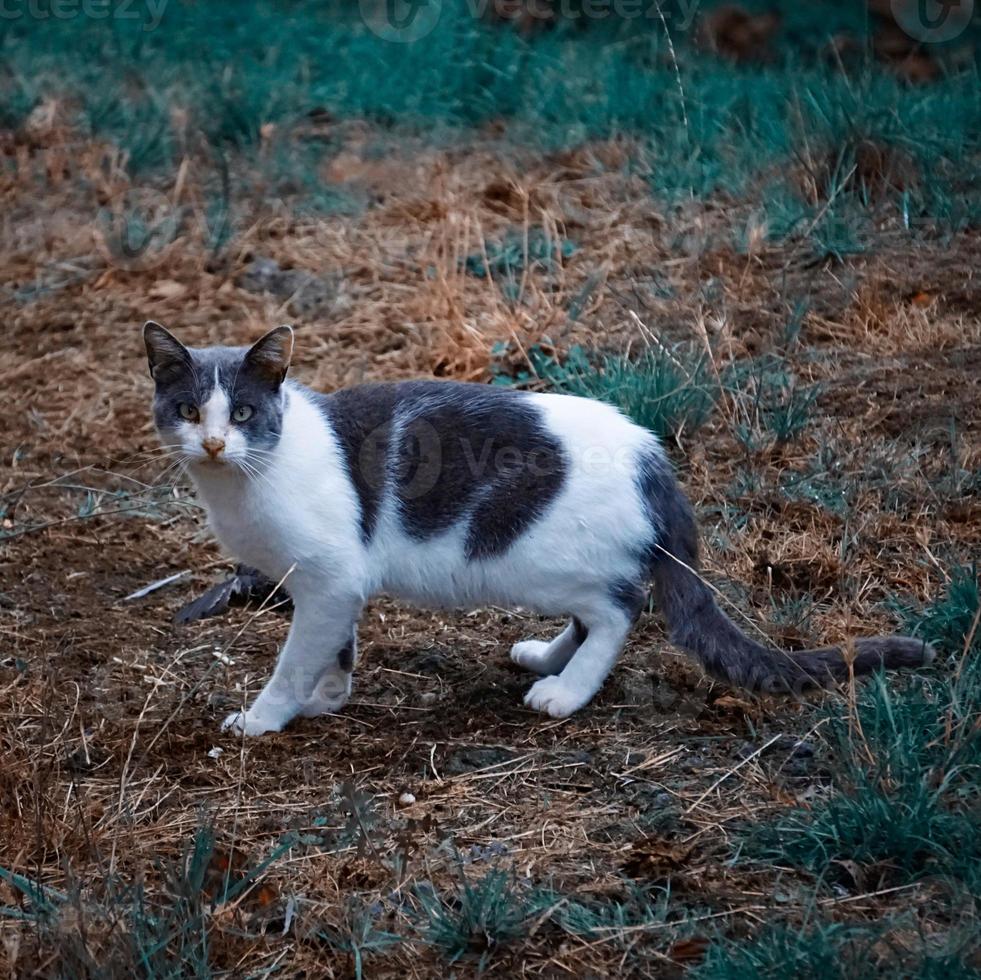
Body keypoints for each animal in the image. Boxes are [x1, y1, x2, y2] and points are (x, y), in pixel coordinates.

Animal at [144, 322, 936, 736]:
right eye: (187, 410)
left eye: (244, 413)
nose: (211, 443)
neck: (243, 482)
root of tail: (652, 452)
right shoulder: (332, 588)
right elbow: (334, 649)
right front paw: (328, 697)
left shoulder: (329, 580)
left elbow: (294, 659)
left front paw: (265, 717)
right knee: (593, 614)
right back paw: (544, 658)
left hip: (532, 557)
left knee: (620, 609)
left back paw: (565, 692)